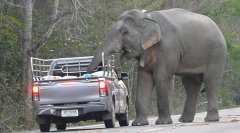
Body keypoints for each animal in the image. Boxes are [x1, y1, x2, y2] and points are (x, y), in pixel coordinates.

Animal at [87, 8, 227, 125]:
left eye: (124, 32)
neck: (147, 17)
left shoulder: (168, 47)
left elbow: (160, 77)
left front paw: (162, 123)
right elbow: (144, 80)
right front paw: (138, 124)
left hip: (216, 54)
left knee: (210, 81)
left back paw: (210, 120)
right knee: (191, 84)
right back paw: (185, 120)